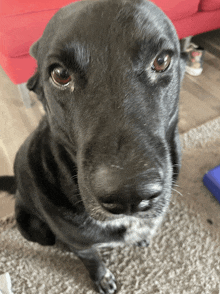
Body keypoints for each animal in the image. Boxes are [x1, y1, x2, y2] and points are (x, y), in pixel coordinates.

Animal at [0, 1, 186, 292]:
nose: (129, 196)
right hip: (30, 227)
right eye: (60, 74)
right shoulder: (83, 246)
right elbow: (92, 260)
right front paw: (102, 277)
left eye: (161, 61)